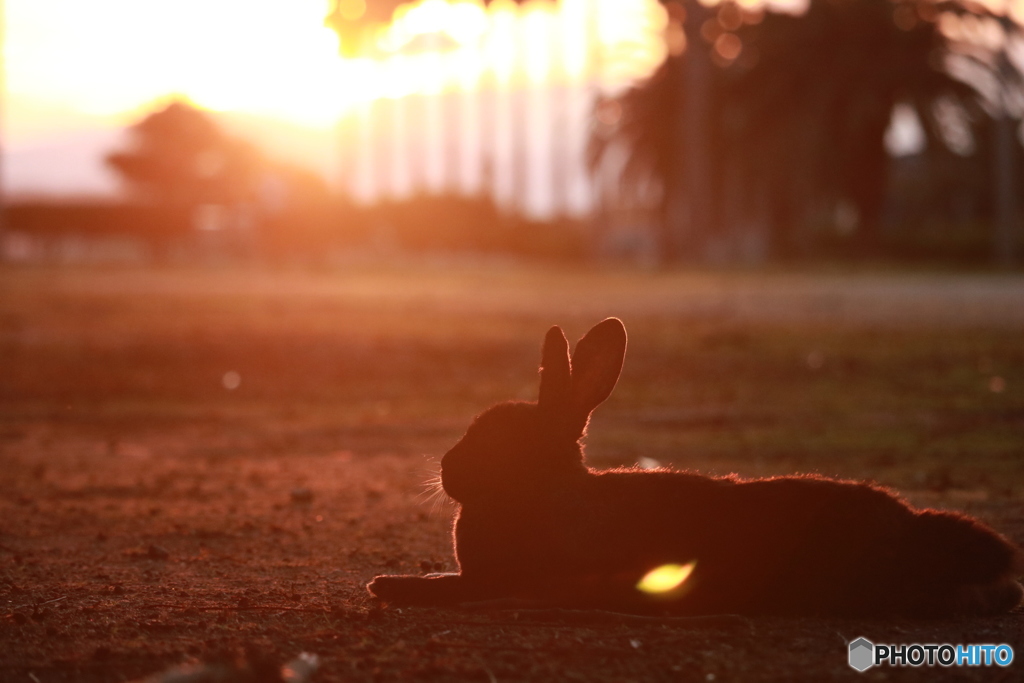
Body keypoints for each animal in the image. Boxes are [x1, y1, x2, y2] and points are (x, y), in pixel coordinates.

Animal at [370, 317, 1024, 618]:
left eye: (502, 441)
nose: (448, 473)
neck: (547, 492)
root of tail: (914, 530)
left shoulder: (499, 580)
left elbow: (452, 588)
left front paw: (388, 585)